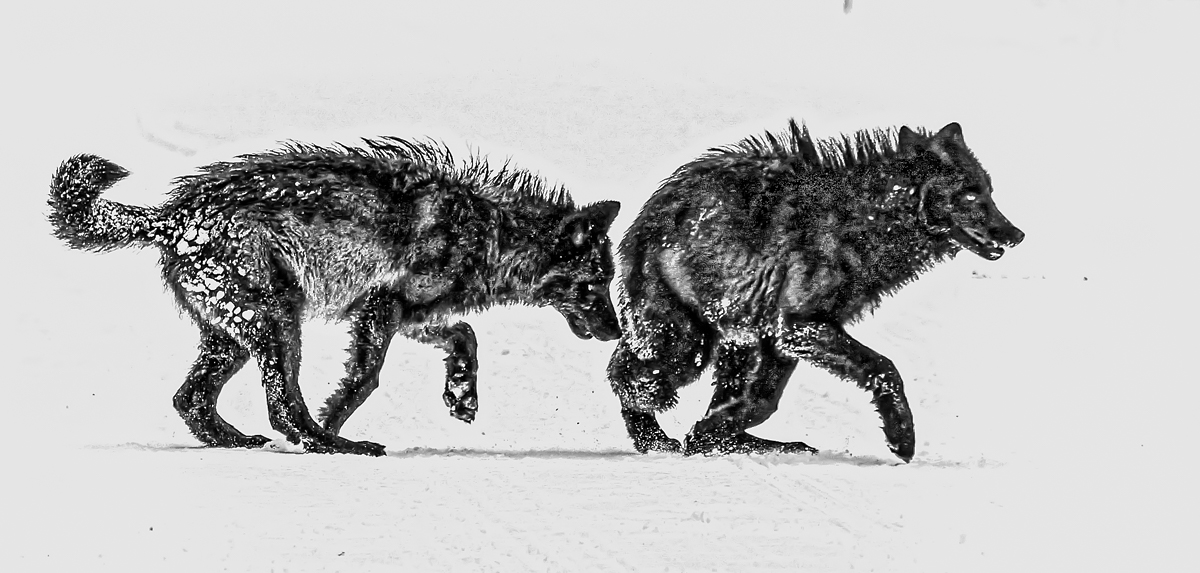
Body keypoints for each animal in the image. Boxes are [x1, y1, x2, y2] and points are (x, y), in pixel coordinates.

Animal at [48, 136, 624, 455]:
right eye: (595, 285)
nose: (618, 331)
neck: (489, 233)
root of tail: (172, 218)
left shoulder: (411, 317)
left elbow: (465, 335)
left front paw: (462, 393)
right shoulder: (380, 309)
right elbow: (365, 379)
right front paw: (335, 419)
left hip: (233, 336)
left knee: (191, 399)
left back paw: (238, 443)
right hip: (277, 324)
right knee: (282, 409)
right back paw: (335, 446)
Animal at [609, 119, 1022, 460]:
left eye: (989, 191)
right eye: (970, 195)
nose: (1016, 234)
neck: (866, 220)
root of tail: (649, 213)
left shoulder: (778, 339)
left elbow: (753, 406)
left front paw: (710, 434)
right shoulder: (798, 326)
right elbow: (884, 367)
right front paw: (902, 439)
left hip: (734, 342)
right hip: (684, 346)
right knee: (626, 378)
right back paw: (655, 442)